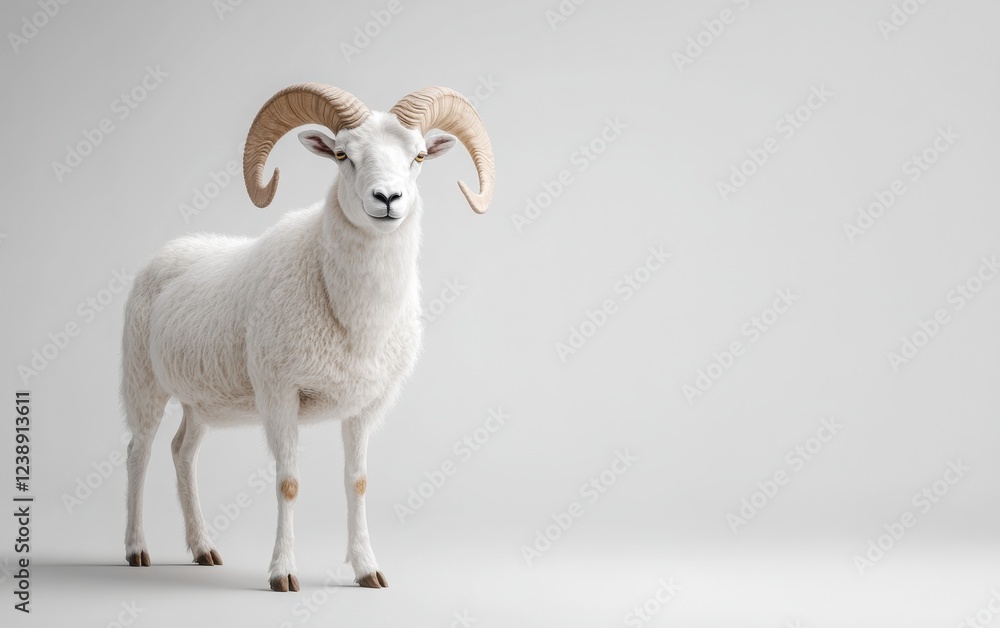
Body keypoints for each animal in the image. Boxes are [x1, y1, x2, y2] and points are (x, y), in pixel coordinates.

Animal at [121, 83, 495, 592]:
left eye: (418, 156)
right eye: (342, 155)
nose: (388, 198)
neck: (356, 318)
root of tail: (167, 252)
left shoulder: (365, 406)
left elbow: (357, 482)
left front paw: (368, 570)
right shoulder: (280, 394)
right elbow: (289, 483)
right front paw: (283, 574)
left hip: (200, 402)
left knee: (183, 453)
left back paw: (203, 550)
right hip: (143, 383)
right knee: (138, 453)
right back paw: (136, 549)